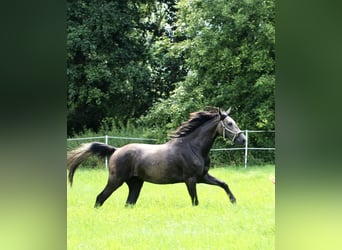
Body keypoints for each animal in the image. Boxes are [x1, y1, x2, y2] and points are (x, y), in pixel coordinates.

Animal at [67, 107, 246, 207]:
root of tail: (115, 150)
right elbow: (195, 201)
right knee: (100, 198)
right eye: (229, 123)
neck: (193, 147)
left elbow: (224, 184)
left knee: (129, 203)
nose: (243, 139)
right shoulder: (191, 179)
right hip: (116, 180)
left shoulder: (203, 176)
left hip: (135, 183)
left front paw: (234, 202)